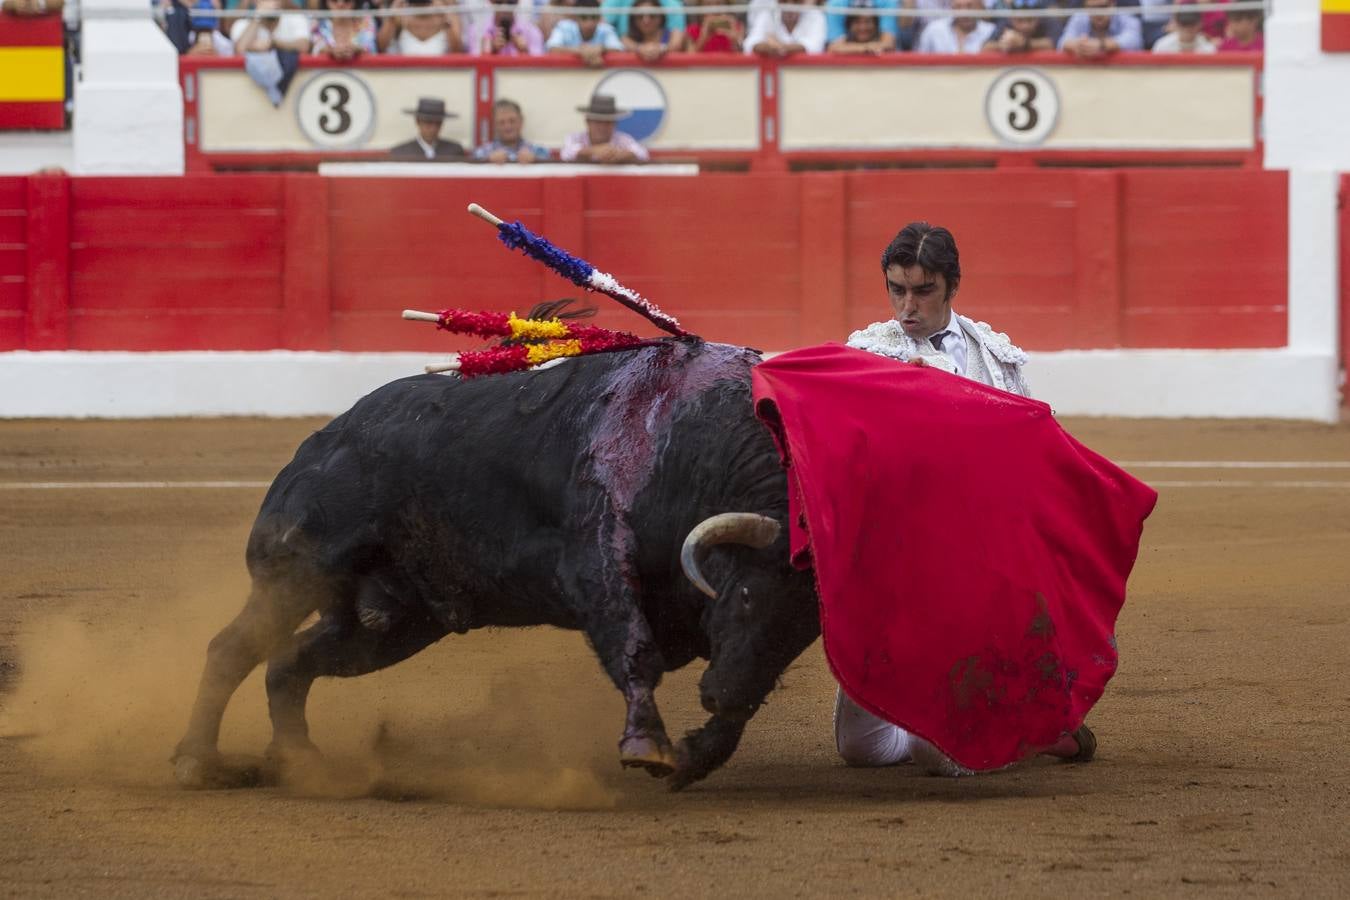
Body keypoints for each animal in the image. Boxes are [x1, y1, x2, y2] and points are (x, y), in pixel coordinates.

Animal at [171, 340, 820, 793]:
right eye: (744, 594)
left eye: (804, 631)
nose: (718, 696)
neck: (694, 443)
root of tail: (321, 441)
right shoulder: (596, 558)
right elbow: (635, 649)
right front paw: (647, 745)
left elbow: (742, 700)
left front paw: (689, 759)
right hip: (300, 570)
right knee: (233, 649)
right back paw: (198, 763)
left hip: (396, 624)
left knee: (289, 662)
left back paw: (302, 764)